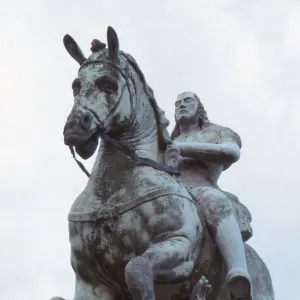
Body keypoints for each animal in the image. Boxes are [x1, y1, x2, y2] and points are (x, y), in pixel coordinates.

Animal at [51, 26, 274, 300]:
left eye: (108, 85)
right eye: (76, 85)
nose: (74, 128)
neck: (112, 191)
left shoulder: (179, 246)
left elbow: (136, 269)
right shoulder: (89, 280)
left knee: (216, 204)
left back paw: (238, 281)